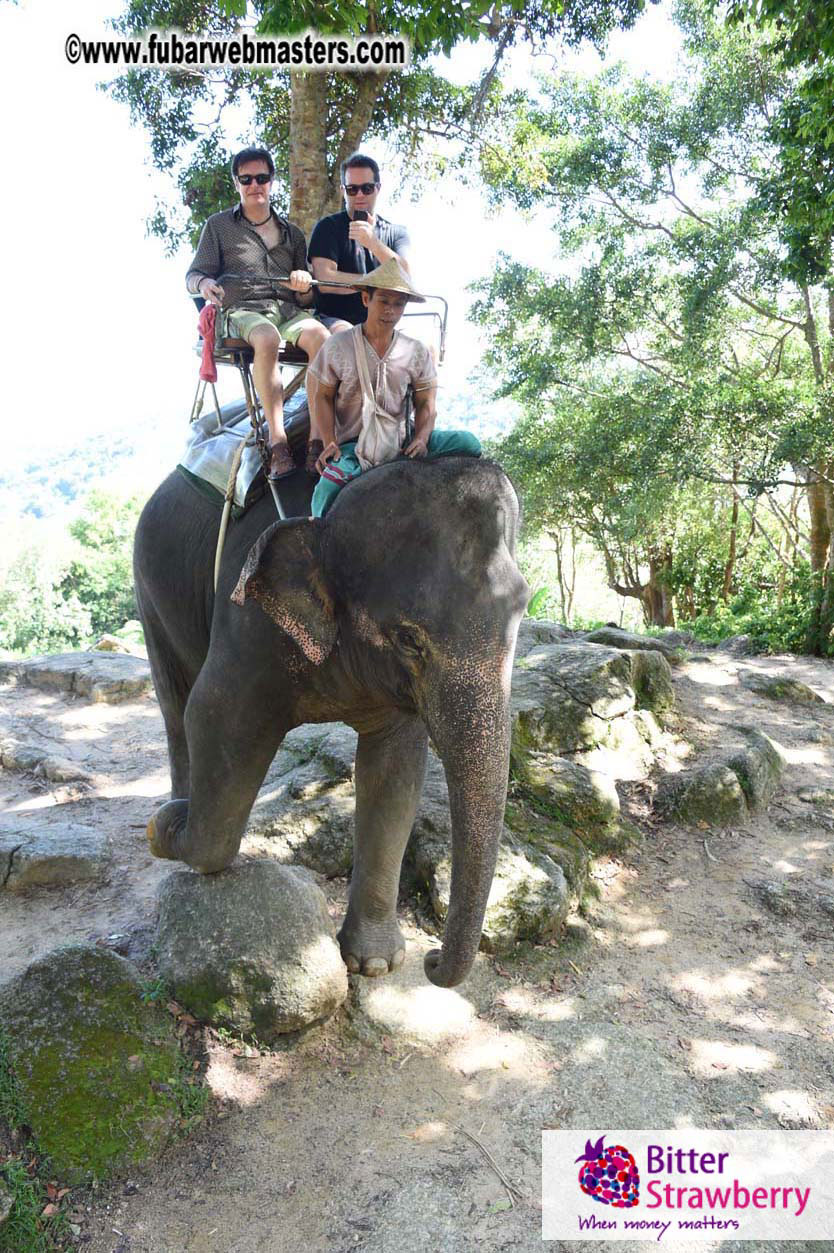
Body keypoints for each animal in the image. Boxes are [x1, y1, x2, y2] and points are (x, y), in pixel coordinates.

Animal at [134, 454, 529, 988]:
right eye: (409, 639)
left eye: (522, 614)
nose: (431, 960)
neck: (329, 519)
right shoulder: (248, 622)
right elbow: (213, 716)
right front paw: (166, 829)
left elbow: (395, 773)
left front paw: (375, 964)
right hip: (147, 582)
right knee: (176, 704)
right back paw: (177, 804)